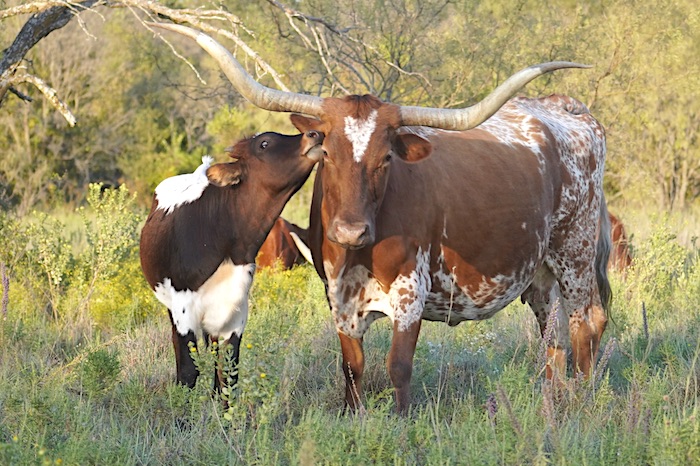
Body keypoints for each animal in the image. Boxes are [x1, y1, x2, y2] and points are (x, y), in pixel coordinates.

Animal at [150, 23, 608, 414]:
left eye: (386, 158)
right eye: (326, 151)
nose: (351, 231)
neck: (359, 254)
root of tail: (563, 106)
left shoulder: (410, 294)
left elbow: (398, 368)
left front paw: (401, 424)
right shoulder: (339, 300)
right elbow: (352, 369)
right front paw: (355, 417)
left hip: (575, 255)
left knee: (586, 323)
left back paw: (584, 402)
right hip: (540, 273)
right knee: (553, 334)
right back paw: (552, 400)